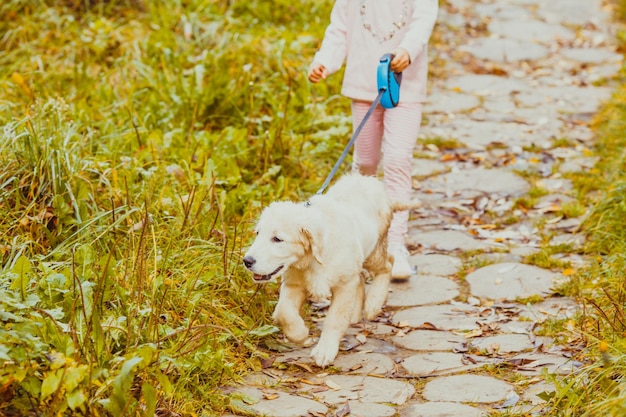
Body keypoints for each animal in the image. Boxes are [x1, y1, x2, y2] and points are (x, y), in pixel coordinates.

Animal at [241, 174, 398, 366]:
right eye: (258, 233)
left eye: (277, 239)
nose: (247, 261)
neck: (312, 260)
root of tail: (367, 178)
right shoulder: (294, 283)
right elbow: (283, 311)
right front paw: (300, 334)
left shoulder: (344, 285)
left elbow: (334, 319)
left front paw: (325, 350)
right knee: (361, 276)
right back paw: (354, 313)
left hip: (373, 251)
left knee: (388, 262)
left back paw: (373, 304)